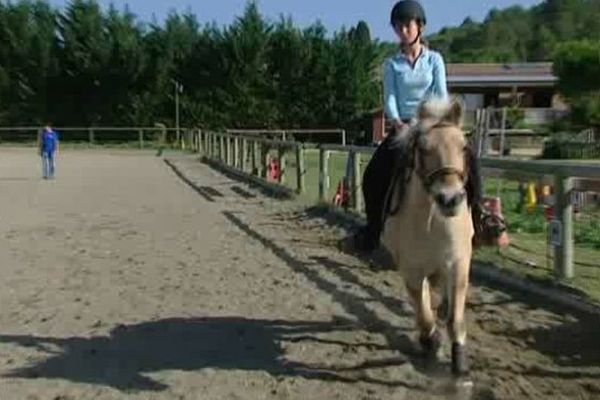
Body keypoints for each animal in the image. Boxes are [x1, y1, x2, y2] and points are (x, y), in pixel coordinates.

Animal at [382, 97, 476, 378]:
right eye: (422, 149)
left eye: (463, 146)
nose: (450, 199)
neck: (433, 222)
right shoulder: (411, 268)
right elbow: (423, 311)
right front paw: (430, 341)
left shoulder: (458, 264)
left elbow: (455, 317)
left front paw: (460, 360)